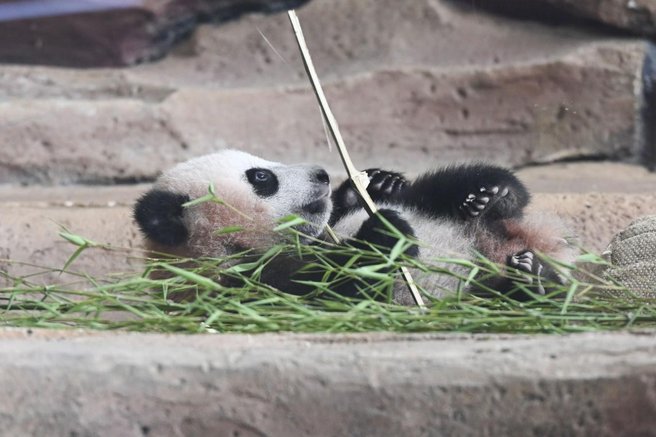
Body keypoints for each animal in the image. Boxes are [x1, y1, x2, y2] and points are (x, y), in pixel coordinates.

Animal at [134, 149, 576, 304]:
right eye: (262, 177)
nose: (321, 174)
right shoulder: (247, 290)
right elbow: (344, 291)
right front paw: (386, 235)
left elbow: (346, 212)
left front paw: (376, 183)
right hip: (474, 294)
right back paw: (532, 281)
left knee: (446, 187)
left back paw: (491, 197)